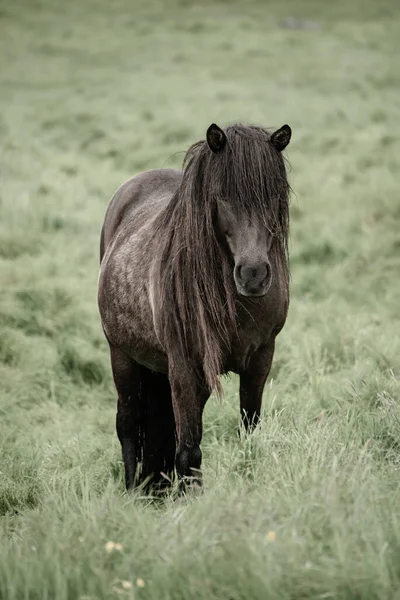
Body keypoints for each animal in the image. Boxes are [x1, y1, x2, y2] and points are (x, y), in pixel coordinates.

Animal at [97, 122, 290, 492]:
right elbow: (189, 452)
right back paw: (132, 492)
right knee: (128, 425)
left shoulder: (261, 359)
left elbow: (248, 434)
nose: (254, 274)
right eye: (221, 196)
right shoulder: (186, 368)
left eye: (273, 194)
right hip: (122, 356)